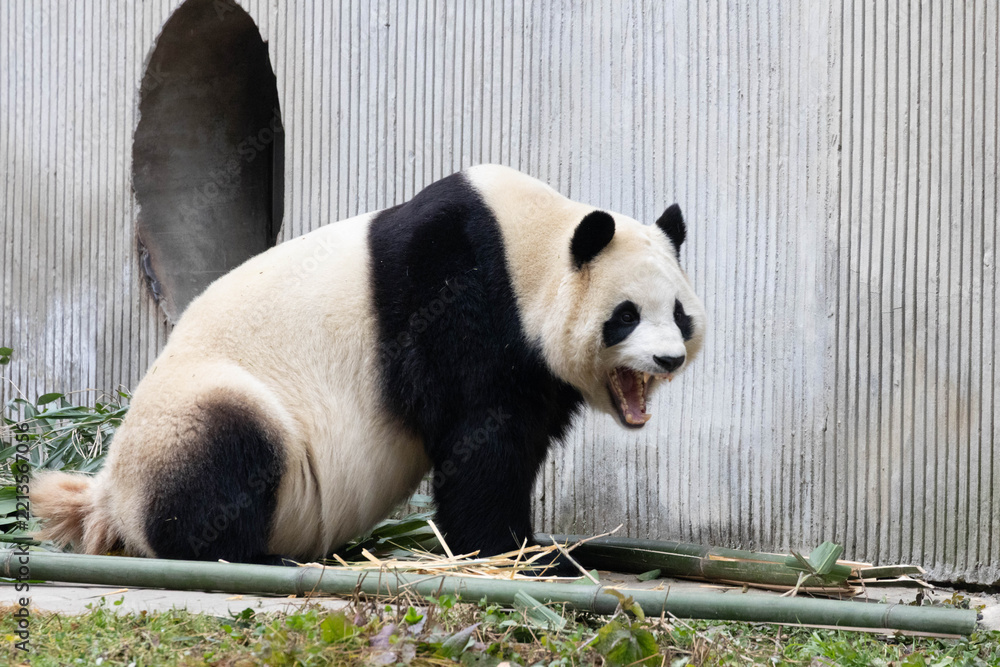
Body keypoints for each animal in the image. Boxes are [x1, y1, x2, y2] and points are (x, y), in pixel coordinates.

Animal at [31, 165, 706, 570]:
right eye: (625, 316)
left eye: (679, 314)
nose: (667, 358)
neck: (533, 249)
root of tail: (108, 497)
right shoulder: (461, 298)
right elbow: (481, 438)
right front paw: (514, 553)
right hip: (196, 408)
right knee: (223, 456)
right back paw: (251, 556)